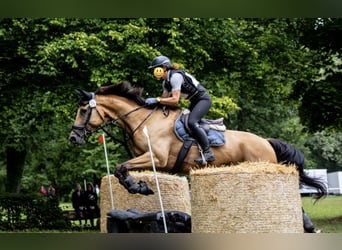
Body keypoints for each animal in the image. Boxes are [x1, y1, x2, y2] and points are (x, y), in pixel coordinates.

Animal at [69, 81, 326, 232]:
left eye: (83, 110)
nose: (73, 138)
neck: (143, 120)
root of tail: (266, 141)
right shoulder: (152, 161)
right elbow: (121, 169)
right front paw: (141, 187)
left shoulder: (157, 158)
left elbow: (121, 167)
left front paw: (137, 187)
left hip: (263, 165)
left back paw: (307, 225)